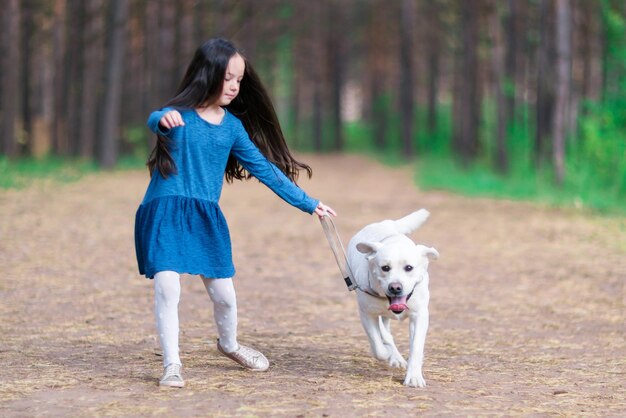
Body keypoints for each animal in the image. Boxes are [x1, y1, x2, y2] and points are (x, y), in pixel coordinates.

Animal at [346, 211, 438, 386]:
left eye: (409, 268)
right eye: (385, 268)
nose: (395, 287)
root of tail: (384, 223)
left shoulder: (420, 315)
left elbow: (416, 347)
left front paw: (414, 377)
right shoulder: (366, 313)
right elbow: (378, 344)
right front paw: (387, 354)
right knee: (385, 334)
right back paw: (394, 357)